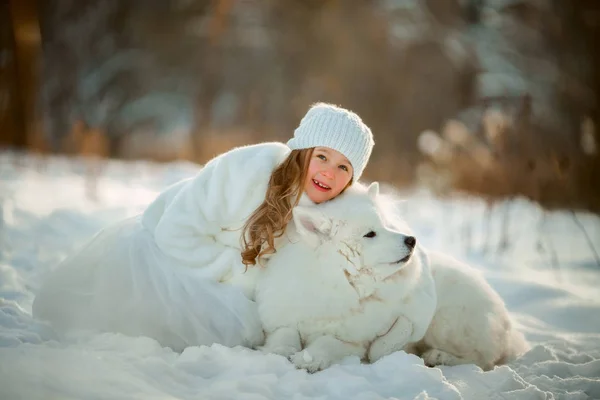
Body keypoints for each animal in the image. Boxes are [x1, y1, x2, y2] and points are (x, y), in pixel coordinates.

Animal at [254, 183, 436, 374]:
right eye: (370, 234)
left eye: (386, 226)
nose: (412, 240)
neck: (334, 285)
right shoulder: (282, 320)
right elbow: (285, 333)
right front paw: (279, 351)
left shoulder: (354, 342)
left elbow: (327, 341)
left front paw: (310, 358)